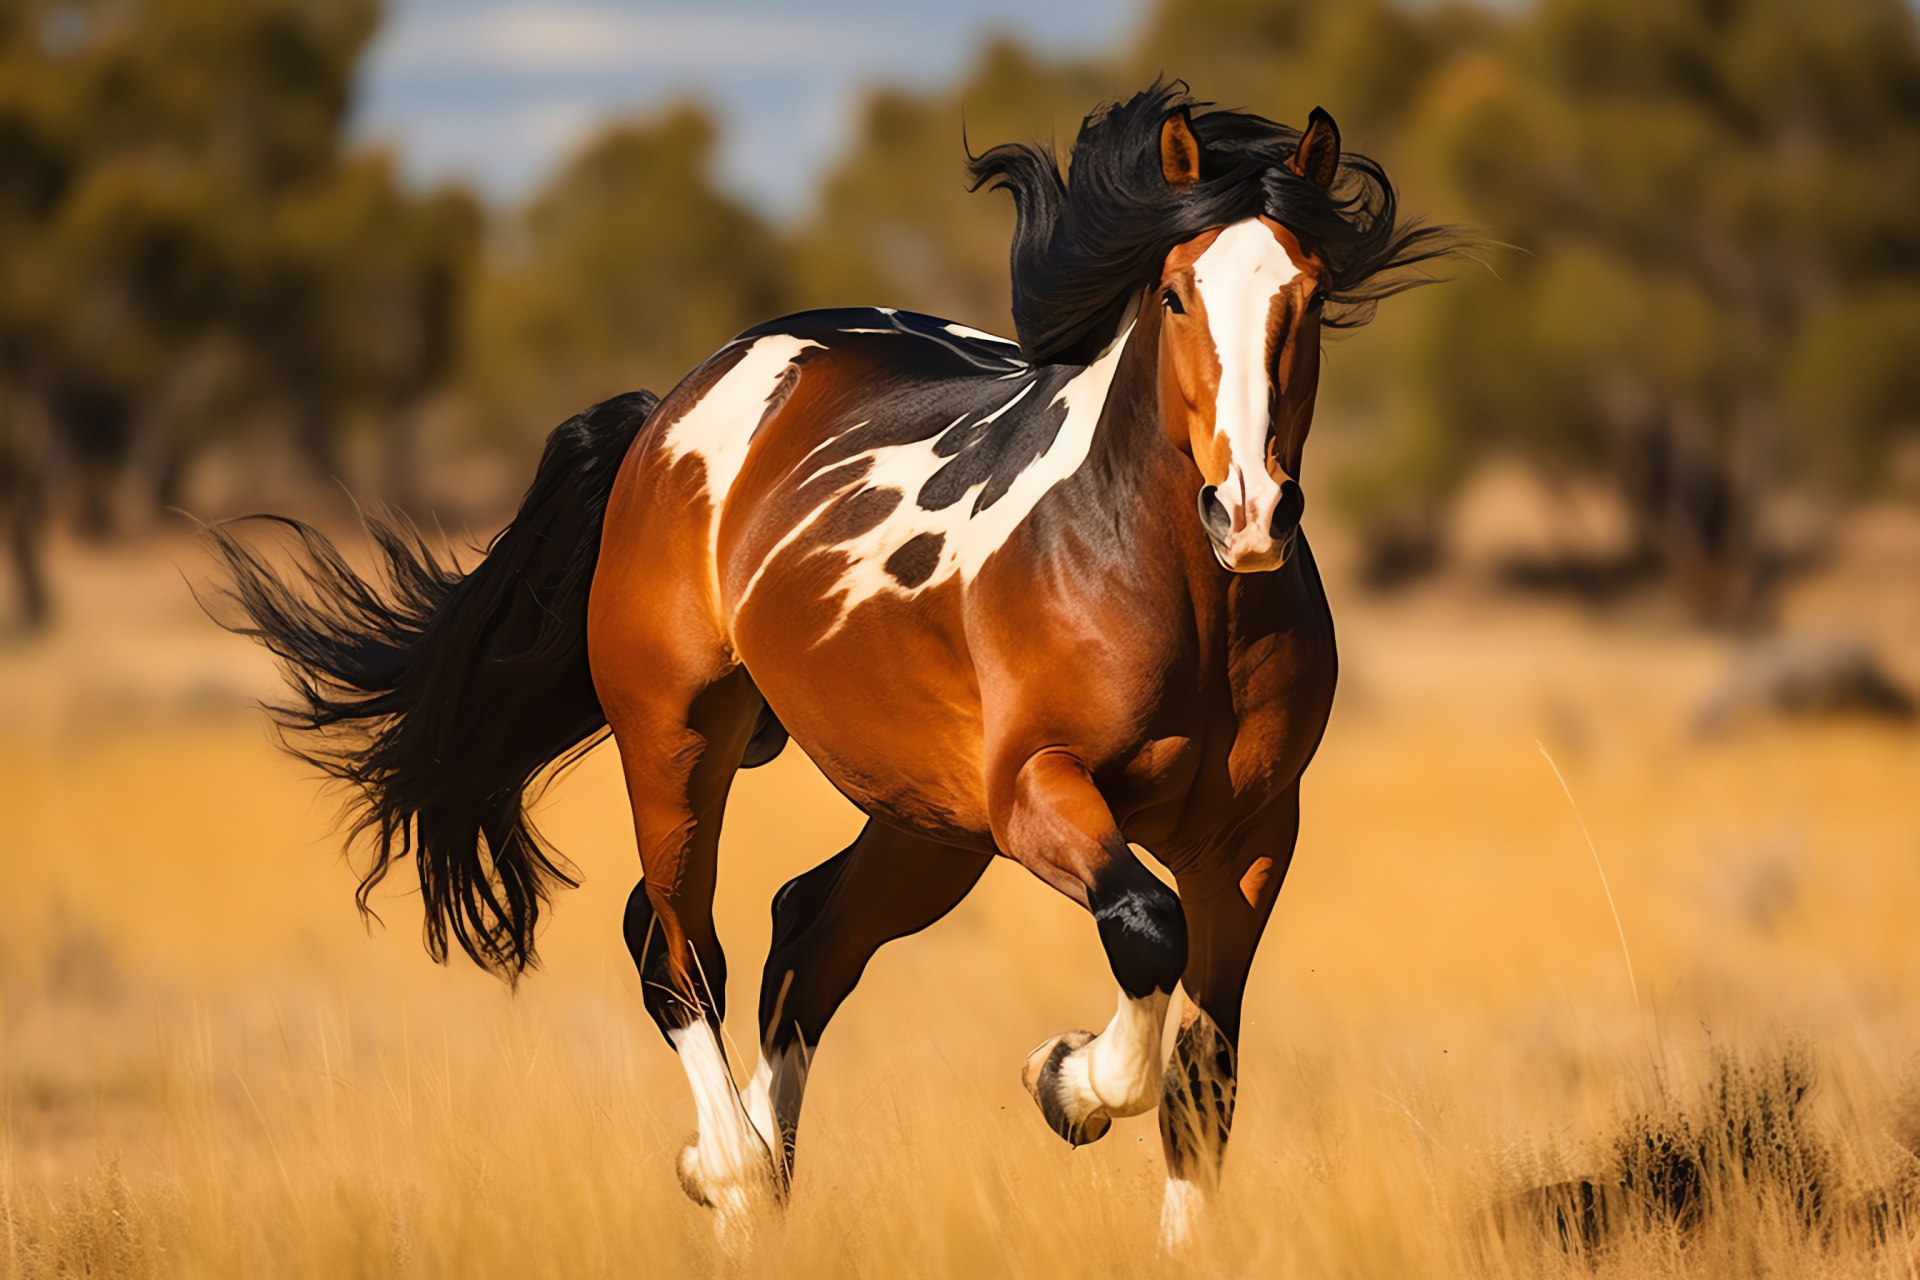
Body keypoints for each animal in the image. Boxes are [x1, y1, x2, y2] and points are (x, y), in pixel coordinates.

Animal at [210, 84, 1451, 1243]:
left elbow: (1202, 1081)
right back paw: (731, 1167)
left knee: (807, 934)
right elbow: (1144, 930)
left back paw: (755, 1170)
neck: (1166, 584)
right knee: (676, 945)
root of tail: (671, 406)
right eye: (1179, 292)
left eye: (1310, 297)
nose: (1249, 509)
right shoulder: (1038, 789)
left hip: (929, 822)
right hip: (683, 739)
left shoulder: (1250, 839)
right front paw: (1065, 1080)